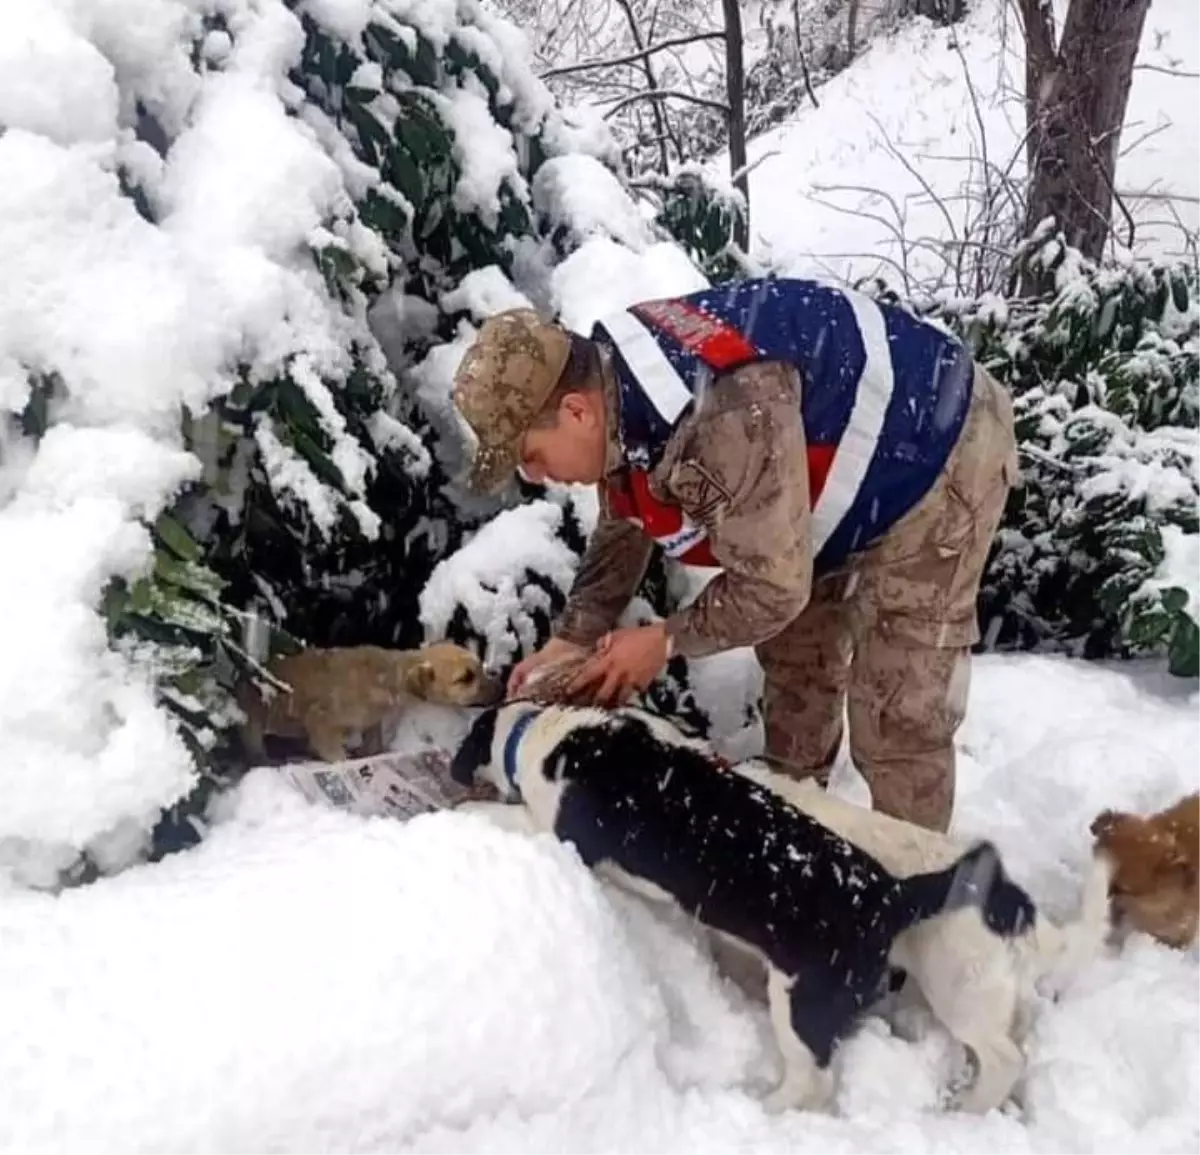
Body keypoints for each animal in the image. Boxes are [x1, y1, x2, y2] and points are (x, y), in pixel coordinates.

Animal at [238, 633, 501, 758]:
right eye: (465, 678)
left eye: (480, 667)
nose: (501, 685)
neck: (385, 677)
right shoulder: (320, 720)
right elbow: (336, 756)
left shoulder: (371, 723)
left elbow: (373, 744)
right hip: (254, 720)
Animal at [451, 696, 1041, 1114]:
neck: (548, 735)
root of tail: (892, 895)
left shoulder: (564, 835)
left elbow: (508, 816)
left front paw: (468, 811)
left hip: (815, 1000)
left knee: (821, 1078)